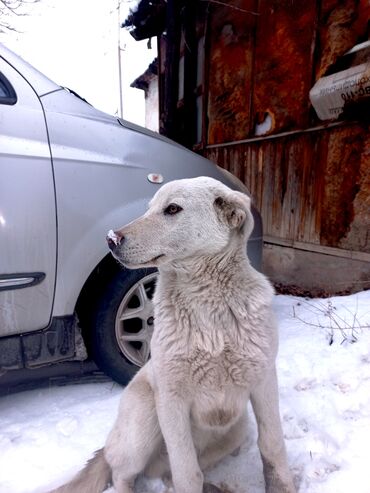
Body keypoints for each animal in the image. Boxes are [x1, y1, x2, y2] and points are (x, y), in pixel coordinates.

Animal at [52, 177, 294, 492]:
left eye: (172, 209)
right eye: (149, 208)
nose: (111, 239)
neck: (207, 307)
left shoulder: (263, 380)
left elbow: (272, 445)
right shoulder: (171, 399)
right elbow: (186, 472)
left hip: (235, 431)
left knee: (170, 475)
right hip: (144, 420)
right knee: (123, 474)